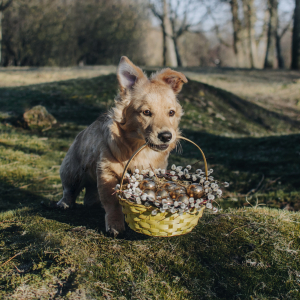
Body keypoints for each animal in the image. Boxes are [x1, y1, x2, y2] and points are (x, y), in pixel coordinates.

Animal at [56, 56, 188, 234]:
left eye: (171, 113)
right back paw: (64, 203)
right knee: (69, 190)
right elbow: (113, 204)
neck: (140, 150)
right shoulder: (107, 173)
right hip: (72, 172)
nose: (166, 136)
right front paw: (115, 224)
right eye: (146, 112)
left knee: (90, 196)